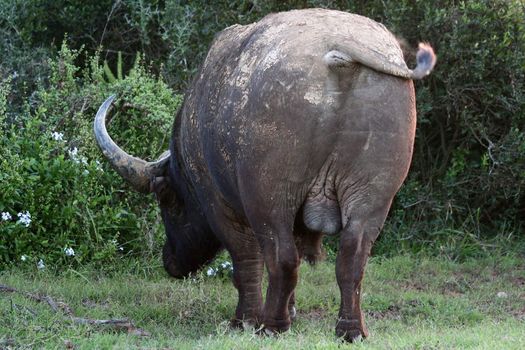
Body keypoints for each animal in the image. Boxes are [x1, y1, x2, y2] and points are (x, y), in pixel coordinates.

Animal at [93, 8, 434, 342]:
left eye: (166, 202)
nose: (171, 262)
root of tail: (339, 50)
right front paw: (291, 310)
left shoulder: (221, 207)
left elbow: (246, 262)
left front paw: (243, 320)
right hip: (372, 196)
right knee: (352, 255)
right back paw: (350, 330)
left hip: (269, 196)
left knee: (281, 256)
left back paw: (271, 325)